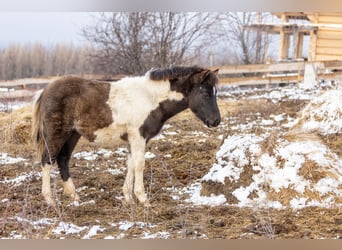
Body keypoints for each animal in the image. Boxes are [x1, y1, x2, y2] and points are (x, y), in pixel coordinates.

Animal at [32, 66, 222, 207]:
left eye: (215, 92)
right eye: (205, 93)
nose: (216, 121)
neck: (150, 98)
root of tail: (46, 90)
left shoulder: (133, 139)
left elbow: (130, 164)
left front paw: (129, 199)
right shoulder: (138, 137)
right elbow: (139, 165)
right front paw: (143, 199)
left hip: (72, 135)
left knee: (63, 159)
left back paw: (74, 196)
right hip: (57, 134)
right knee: (47, 160)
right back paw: (50, 200)